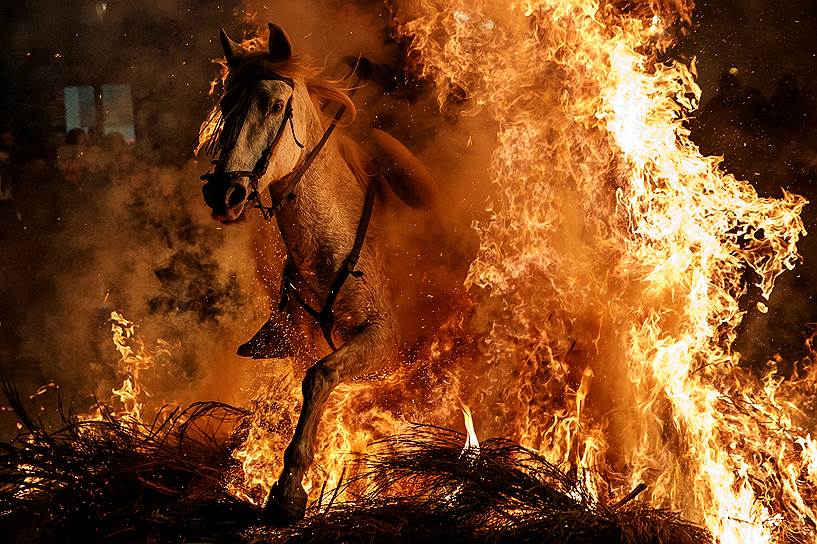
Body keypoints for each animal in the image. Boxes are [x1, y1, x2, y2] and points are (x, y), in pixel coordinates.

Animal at [200, 24, 436, 524]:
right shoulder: (299, 348)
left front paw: (288, 490)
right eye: (226, 106)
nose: (224, 193)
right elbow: (309, 393)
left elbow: (321, 378)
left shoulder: (382, 343)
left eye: (274, 105)